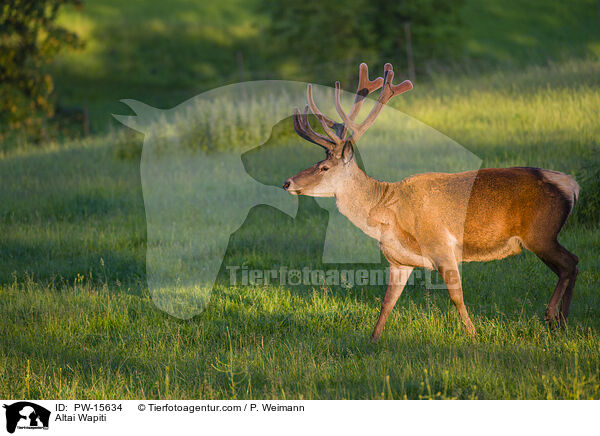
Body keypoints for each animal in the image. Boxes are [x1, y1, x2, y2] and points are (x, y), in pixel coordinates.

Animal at [284, 62, 580, 340]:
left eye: (324, 167)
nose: (288, 182)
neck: (389, 214)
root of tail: (572, 185)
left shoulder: (441, 245)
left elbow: (457, 297)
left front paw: (474, 335)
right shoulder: (399, 261)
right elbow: (387, 303)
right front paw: (373, 339)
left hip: (540, 233)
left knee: (570, 263)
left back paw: (553, 317)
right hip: (541, 237)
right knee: (570, 265)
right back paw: (563, 321)